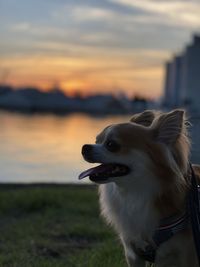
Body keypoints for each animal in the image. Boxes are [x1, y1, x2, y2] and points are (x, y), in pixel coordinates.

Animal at [79, 110, 199, 266]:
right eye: (96, 141)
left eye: (111, 144)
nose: (84, 147)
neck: (134, 192)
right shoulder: (133, 252)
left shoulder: (186, 255)